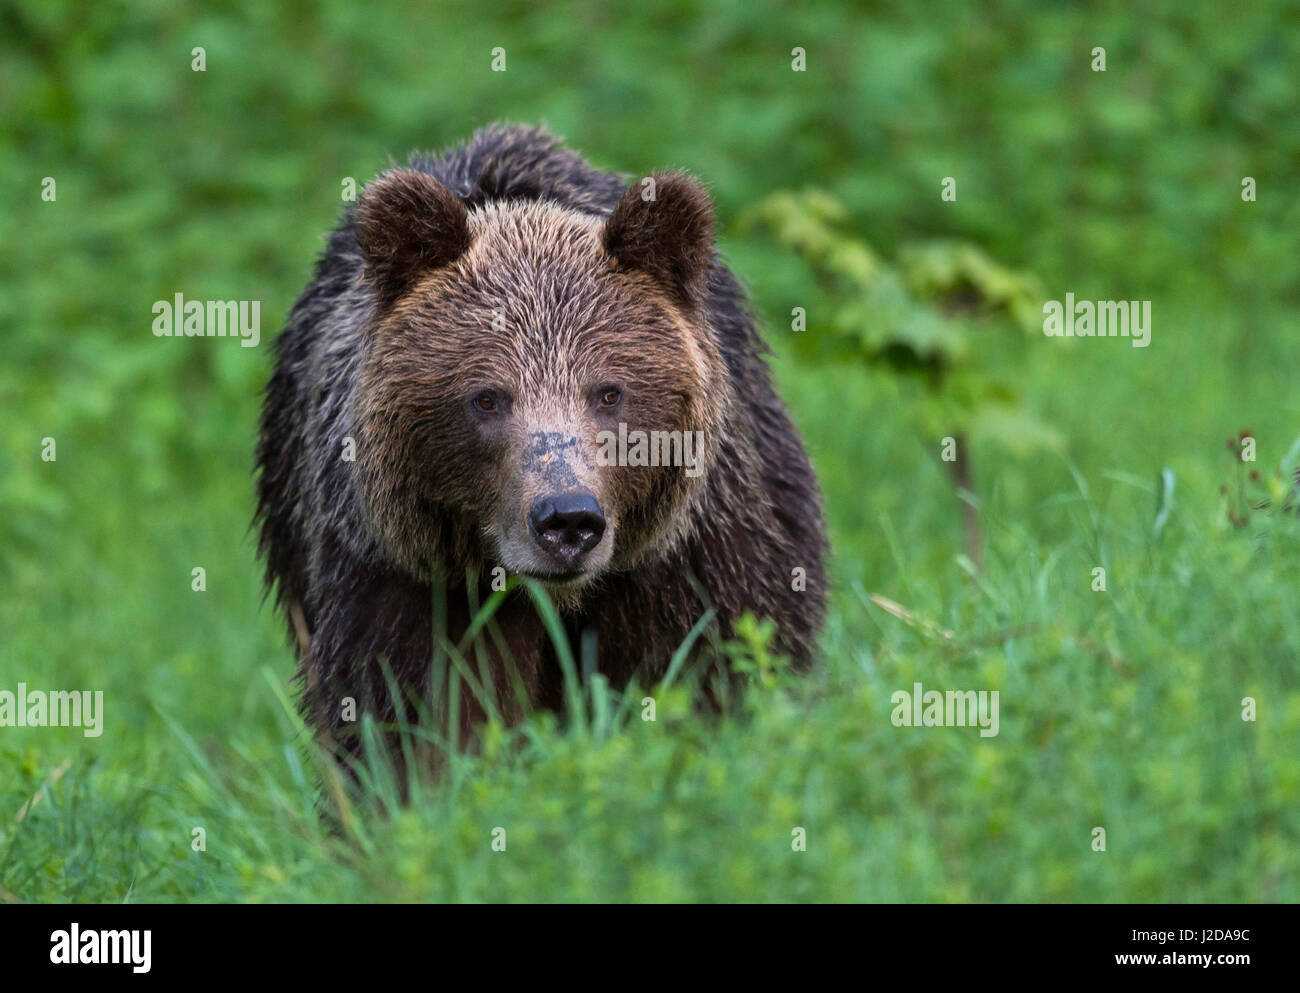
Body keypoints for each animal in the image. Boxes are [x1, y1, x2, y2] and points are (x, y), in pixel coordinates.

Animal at [253, 128, 826, 753]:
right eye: (487, 397)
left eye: (609, 392)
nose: (568, 520)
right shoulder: (400, 573)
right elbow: (407, 708)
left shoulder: (689, 555)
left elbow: (712, 663)